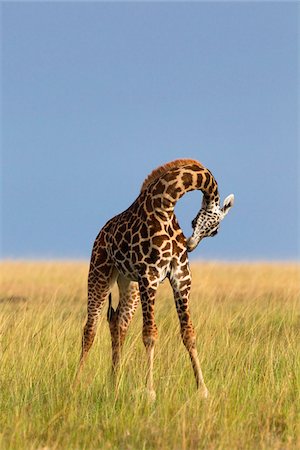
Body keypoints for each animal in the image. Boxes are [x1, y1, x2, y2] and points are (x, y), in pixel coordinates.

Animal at [77, 160, 234, 400]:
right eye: (194, 221)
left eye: (213, 231)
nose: (190, 245)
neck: (166, 205)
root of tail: (101, 233)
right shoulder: (149, 276)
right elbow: (150, 334)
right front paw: (150, 391)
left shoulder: (181, 276)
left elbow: (189, 333)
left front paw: (203, 390)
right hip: (100, 272)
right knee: (90, 329)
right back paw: (75, 385)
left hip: (128, 283)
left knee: (119, 324)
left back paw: (115, 385)